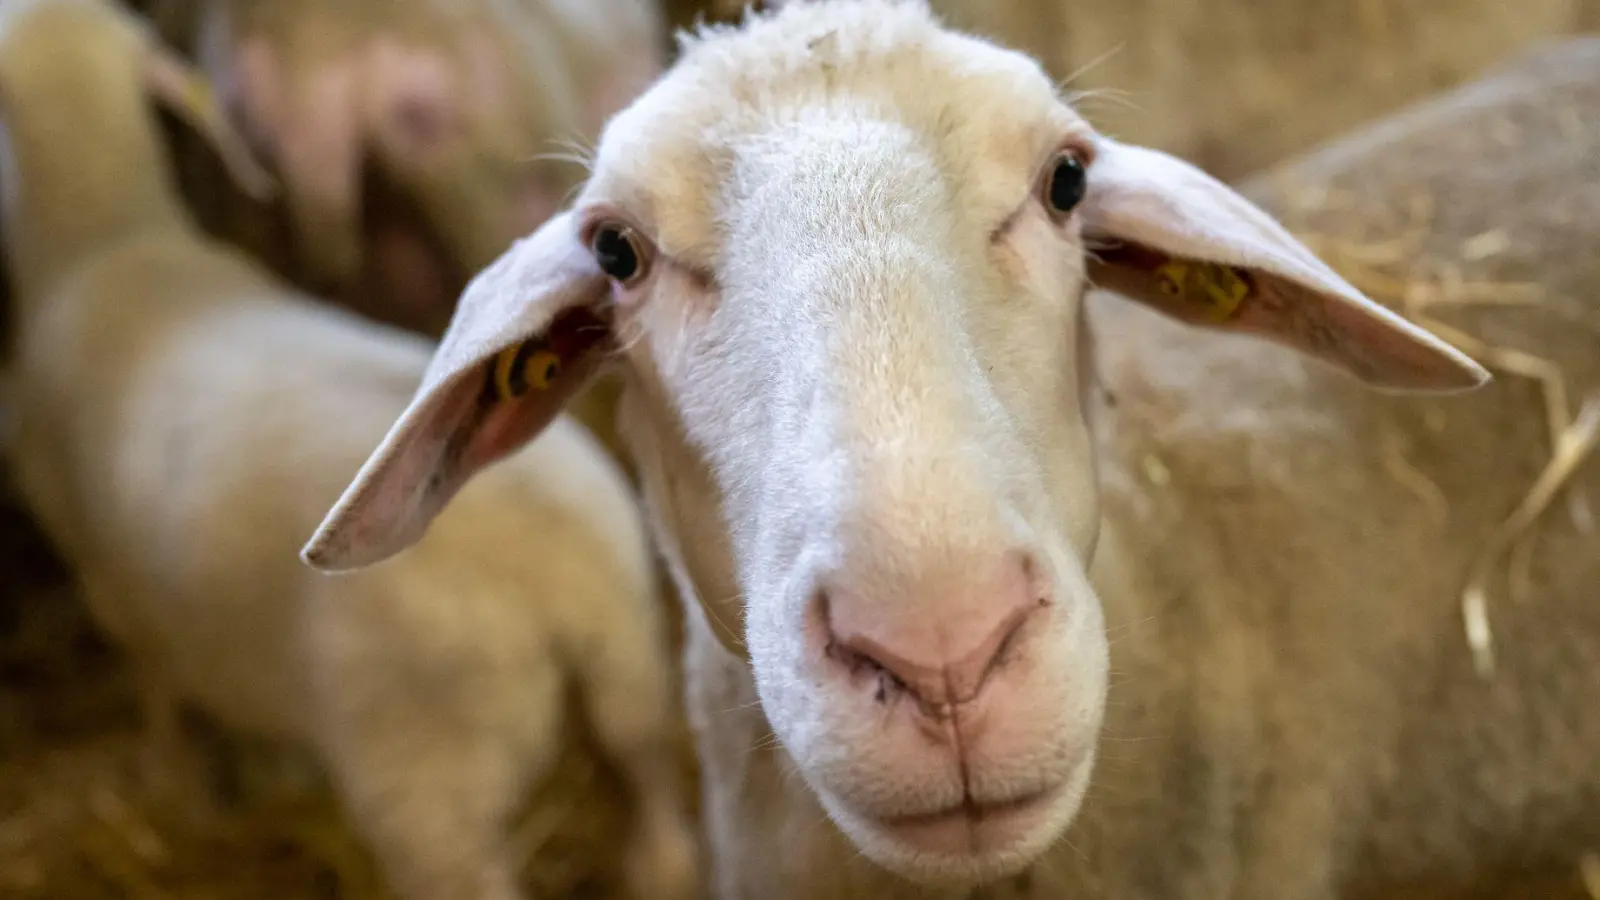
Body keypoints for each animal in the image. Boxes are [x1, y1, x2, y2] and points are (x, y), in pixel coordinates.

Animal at [1, 1, 700, 896]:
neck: (107, 240)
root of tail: (558, 581)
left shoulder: (110, 584)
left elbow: (162, 700)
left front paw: (181, 787)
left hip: (427, 773)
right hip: (636, 672)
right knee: (658, 821)